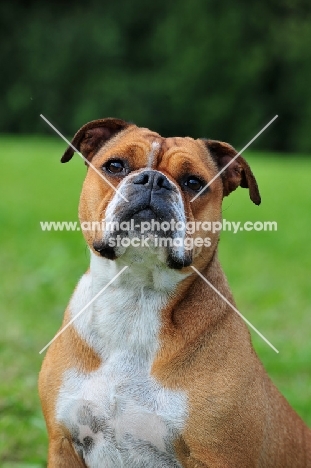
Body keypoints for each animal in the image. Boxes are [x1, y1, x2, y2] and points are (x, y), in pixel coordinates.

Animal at [39, 118, 311, 468]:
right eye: (115, 166)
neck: (137, 294)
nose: (153, 180)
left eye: (193, 182)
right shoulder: (64, 443)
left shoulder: (219, 456)